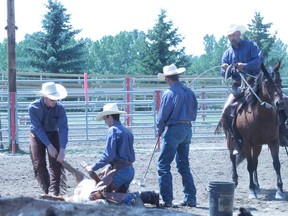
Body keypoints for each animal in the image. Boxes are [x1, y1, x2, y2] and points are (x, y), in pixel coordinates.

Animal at [215, 62, 284, 199]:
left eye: (280, 80)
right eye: (266, 82)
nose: (280, 103)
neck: (260, 116)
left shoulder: (274, 141)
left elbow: (276, 163)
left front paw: (280, 190)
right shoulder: (246, 143)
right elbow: (249, 166)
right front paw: (251, 190)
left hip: (257, 145)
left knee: (255, 160)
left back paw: (257, 185)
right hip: (231, 141)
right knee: (233, 158)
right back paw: (235, 180)